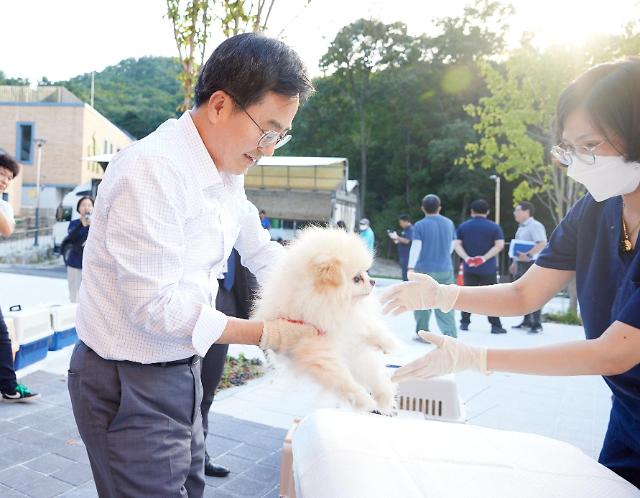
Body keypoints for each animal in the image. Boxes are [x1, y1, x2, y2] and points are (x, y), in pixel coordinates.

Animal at [251, 226, 398, 412]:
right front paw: (364, 400)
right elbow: (344, 379)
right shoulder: (319, 351)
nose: (373, 281)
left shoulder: (354, 326)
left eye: (366, 273)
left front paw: (391, 345)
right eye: (357, 279)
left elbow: (372, 330)